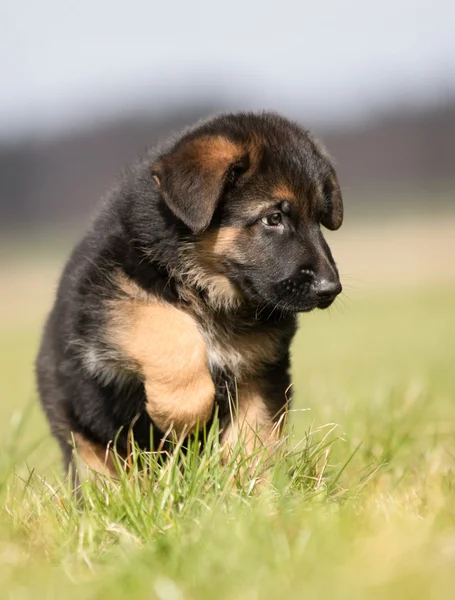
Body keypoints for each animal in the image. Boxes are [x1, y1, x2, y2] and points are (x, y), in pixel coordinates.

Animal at [35, 112, 344, 476]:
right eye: (274, 218)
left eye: (320, 219)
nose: (330, 289)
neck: (211, 291)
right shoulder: (106, 298)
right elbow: (164, 321)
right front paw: (181, 411)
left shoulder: (258, 369)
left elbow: (255, 435)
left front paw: (253, 485)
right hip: (80, 426)